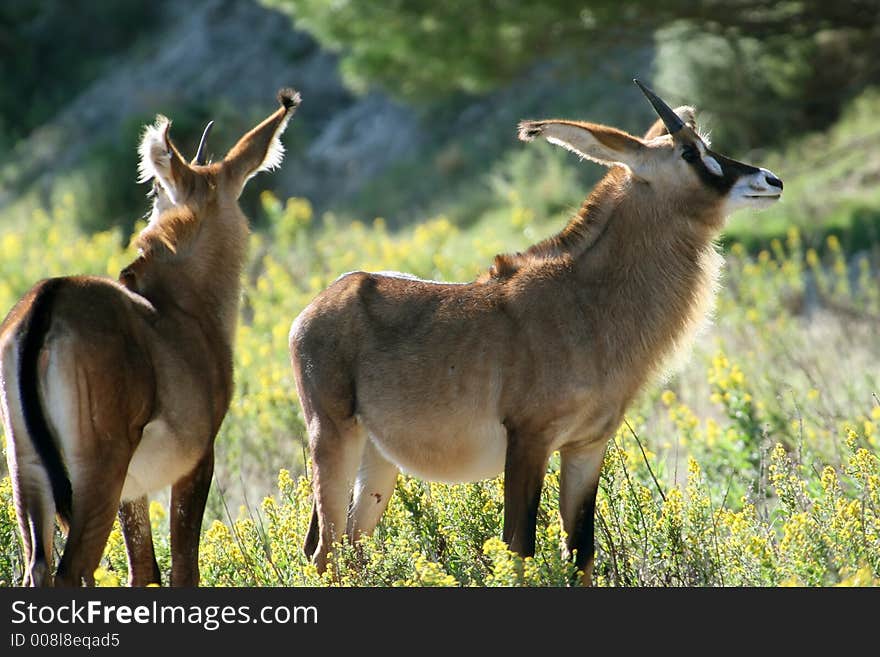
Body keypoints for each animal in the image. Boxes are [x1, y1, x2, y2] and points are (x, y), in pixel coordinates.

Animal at [0, 87, 300, 584]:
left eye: (157, 189)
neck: (180, 305)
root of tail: (48, 300)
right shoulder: (199, 460)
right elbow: (182, 567)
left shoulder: (133, 492)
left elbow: (143, 569)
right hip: (97, 472)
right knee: (69, 570)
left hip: (29, 470)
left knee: (37, 568)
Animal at [290, 79, 784, 588]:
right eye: (689, 152)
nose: (770, 181)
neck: (585, 301)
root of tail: (319, 304)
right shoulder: (529, 439)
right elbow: (519, 548)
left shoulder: (587, 446)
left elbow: (581, 550)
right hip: (333, 436)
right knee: (323, 551)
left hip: (379, 458)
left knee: (352, 546)